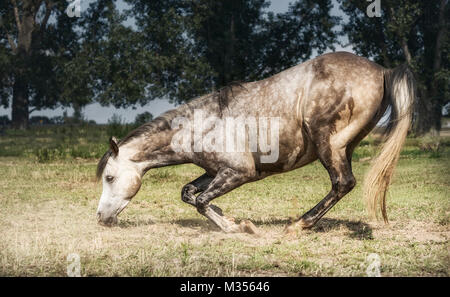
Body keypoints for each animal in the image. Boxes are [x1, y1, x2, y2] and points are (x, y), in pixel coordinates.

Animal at [94, 52, 414, 234]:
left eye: (109, 177)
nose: (100, 217)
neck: (200, 126)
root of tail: (382, 71)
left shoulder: (239, 172)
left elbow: (201, 200)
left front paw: (237, 227)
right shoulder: (215, 171)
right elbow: (189, 193)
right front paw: (226, 216)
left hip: (330, 145)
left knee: (343, 183)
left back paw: (299, 224)